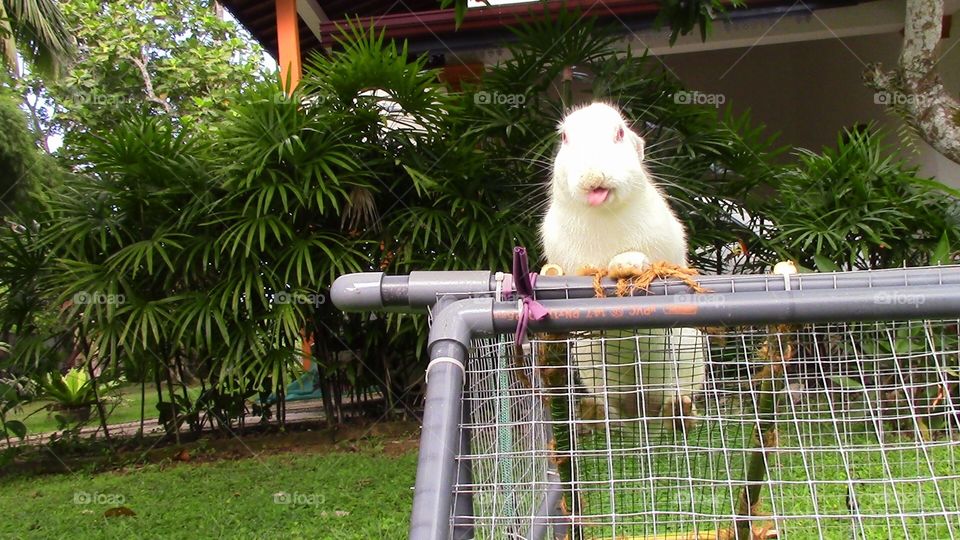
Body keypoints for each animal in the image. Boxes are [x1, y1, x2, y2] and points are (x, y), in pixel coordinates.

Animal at [539, 102, 706, 431]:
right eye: (565, 137)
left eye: (619, 133)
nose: (593, 175)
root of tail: (640, 409)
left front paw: (626, 263)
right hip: (589, 362)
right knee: (613, 412)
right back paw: (593, 414)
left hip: (687, 355)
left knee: (673, 406)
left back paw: (680, 412)